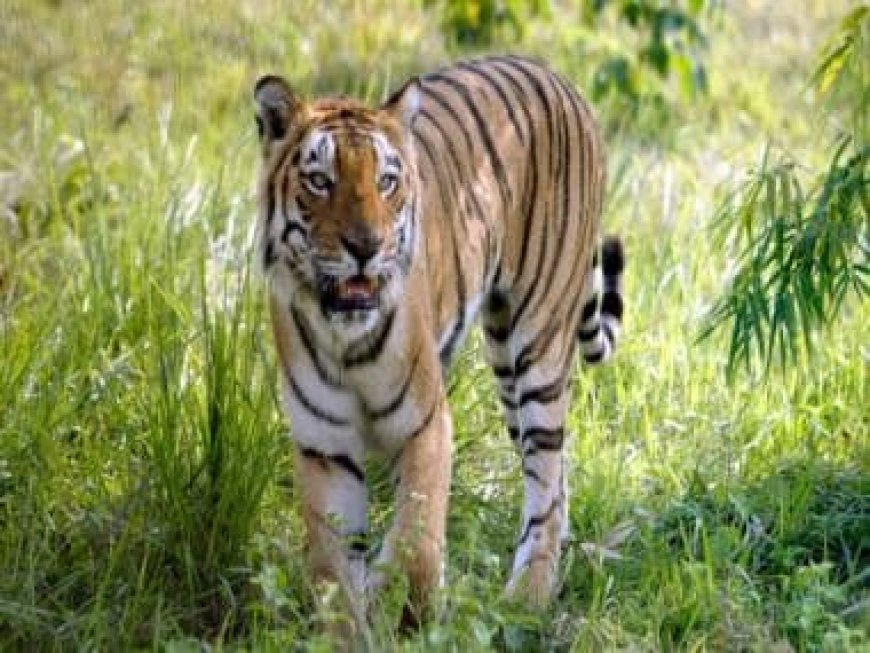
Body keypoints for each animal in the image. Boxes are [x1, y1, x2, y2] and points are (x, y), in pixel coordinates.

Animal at [252, 56, 628, 632]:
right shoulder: (325, 445)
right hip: (505, 362)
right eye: (319, 181)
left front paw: (411, 610)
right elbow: (333, 566)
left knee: (545, 481)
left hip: (538, 344)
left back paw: (528, 595)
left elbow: (416, 534)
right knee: (558, 480)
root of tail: (561, 78)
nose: (366, 247)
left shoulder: (425, 423)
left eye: (387, 182)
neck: (343, 337)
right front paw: (347, 629)